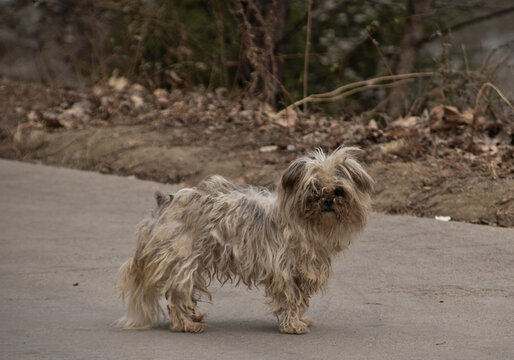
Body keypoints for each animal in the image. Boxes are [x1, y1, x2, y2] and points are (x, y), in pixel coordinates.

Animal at [115, 147, 372, 334]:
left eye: (338, 191)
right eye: (313, 191)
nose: (327, 200)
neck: (308, 227)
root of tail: (166, 203)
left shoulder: (300, 273)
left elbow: (299, 300)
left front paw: (299, 319)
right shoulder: (284, 272)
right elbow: (291, 300)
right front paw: (292, 325)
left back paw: (191, 316)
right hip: (184, 262)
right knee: (177, 294)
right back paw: (186, 324)